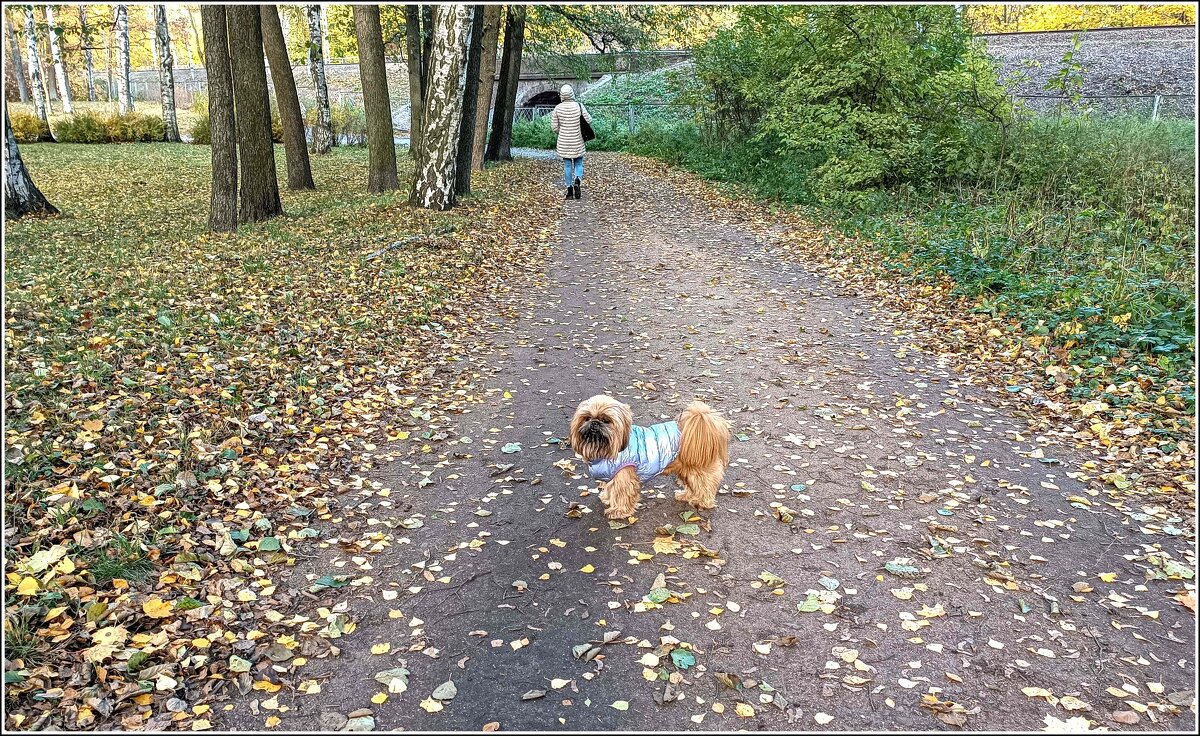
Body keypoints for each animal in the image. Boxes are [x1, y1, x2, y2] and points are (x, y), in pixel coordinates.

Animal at [571, 393, 729, 518]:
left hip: (697, 471)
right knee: (694, 486)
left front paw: (618, 511)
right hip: (686, 471)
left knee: (705, 487)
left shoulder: (623, 477)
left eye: (606, 420)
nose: (595, 423)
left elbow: (622, 495)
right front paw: (608, 499)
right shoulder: (611, 476)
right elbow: (610, 488)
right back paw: (686, 496)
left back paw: (702, 502)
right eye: (587, 418)